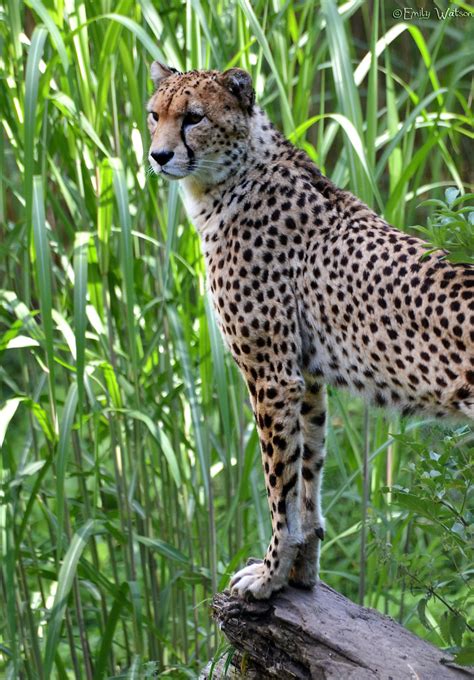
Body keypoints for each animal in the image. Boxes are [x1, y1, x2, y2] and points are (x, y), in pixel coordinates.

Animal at [146, 62, 474, 600]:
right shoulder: (307, 378)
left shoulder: (272, 376)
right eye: (155, 115)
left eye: (193, 117)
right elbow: (307, 474)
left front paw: (269, 574)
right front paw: (301, 571)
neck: (233, 176)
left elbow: (279, 484)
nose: (159, 155)